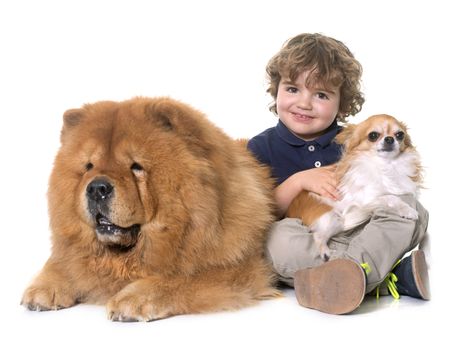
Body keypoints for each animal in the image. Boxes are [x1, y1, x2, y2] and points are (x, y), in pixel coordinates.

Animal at [20, 97, 280, 322]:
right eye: (89, 166)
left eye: (136, 167)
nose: (96, 188)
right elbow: (62, 261)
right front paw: (43, 287)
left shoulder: (240, 269)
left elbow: (181, 278)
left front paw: (132, 299)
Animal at [288, 115, 426, 260]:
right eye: (373, 135)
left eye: (400, 135)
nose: (389, 138)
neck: (386, 165)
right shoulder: (366, 199)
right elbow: (391, 197)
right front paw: (408, 210)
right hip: (332, 217)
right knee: (318, 236)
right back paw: (326, 253)